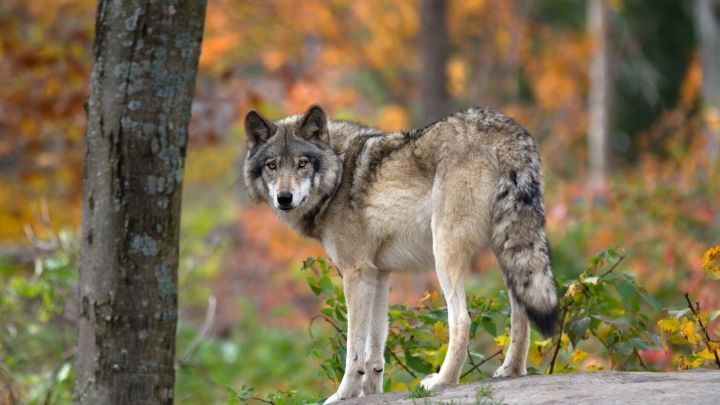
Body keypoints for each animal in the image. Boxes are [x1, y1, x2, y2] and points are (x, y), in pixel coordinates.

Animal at [243, 105, 559, 402]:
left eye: (302, 164)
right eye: (272, 165)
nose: (284, 198)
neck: (338, 176)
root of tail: (504, 130)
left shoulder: (356, 273)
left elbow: (354, 349)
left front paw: (343, 395)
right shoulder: (379, 274)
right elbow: (375, 347)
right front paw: (371, 391)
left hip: (445, 250)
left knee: (462, 319)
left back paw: (443, 380)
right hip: (509, 250)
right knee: (521, 313)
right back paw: (512, 370)